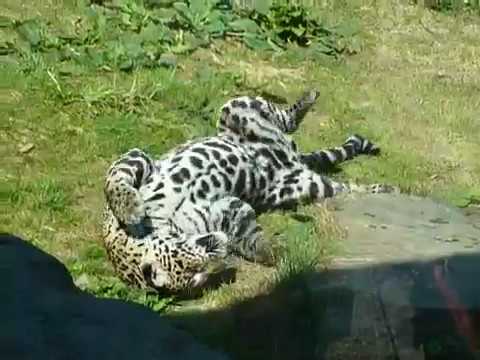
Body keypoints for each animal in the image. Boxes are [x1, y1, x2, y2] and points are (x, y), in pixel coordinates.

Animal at [102, 90, 398, 296]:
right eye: (199, 277)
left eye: (193, 267)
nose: (220, 261)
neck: (169, 223)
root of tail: (290, 155)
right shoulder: (224, 207)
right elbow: (248, 235)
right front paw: (272, 252)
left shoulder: (140, 159)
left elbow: (115, 177)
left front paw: (131, 209)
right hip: (304, 186)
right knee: (344, 188)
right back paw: (385, 189)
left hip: (236, 108)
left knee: (284, 117)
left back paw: (307, 100)